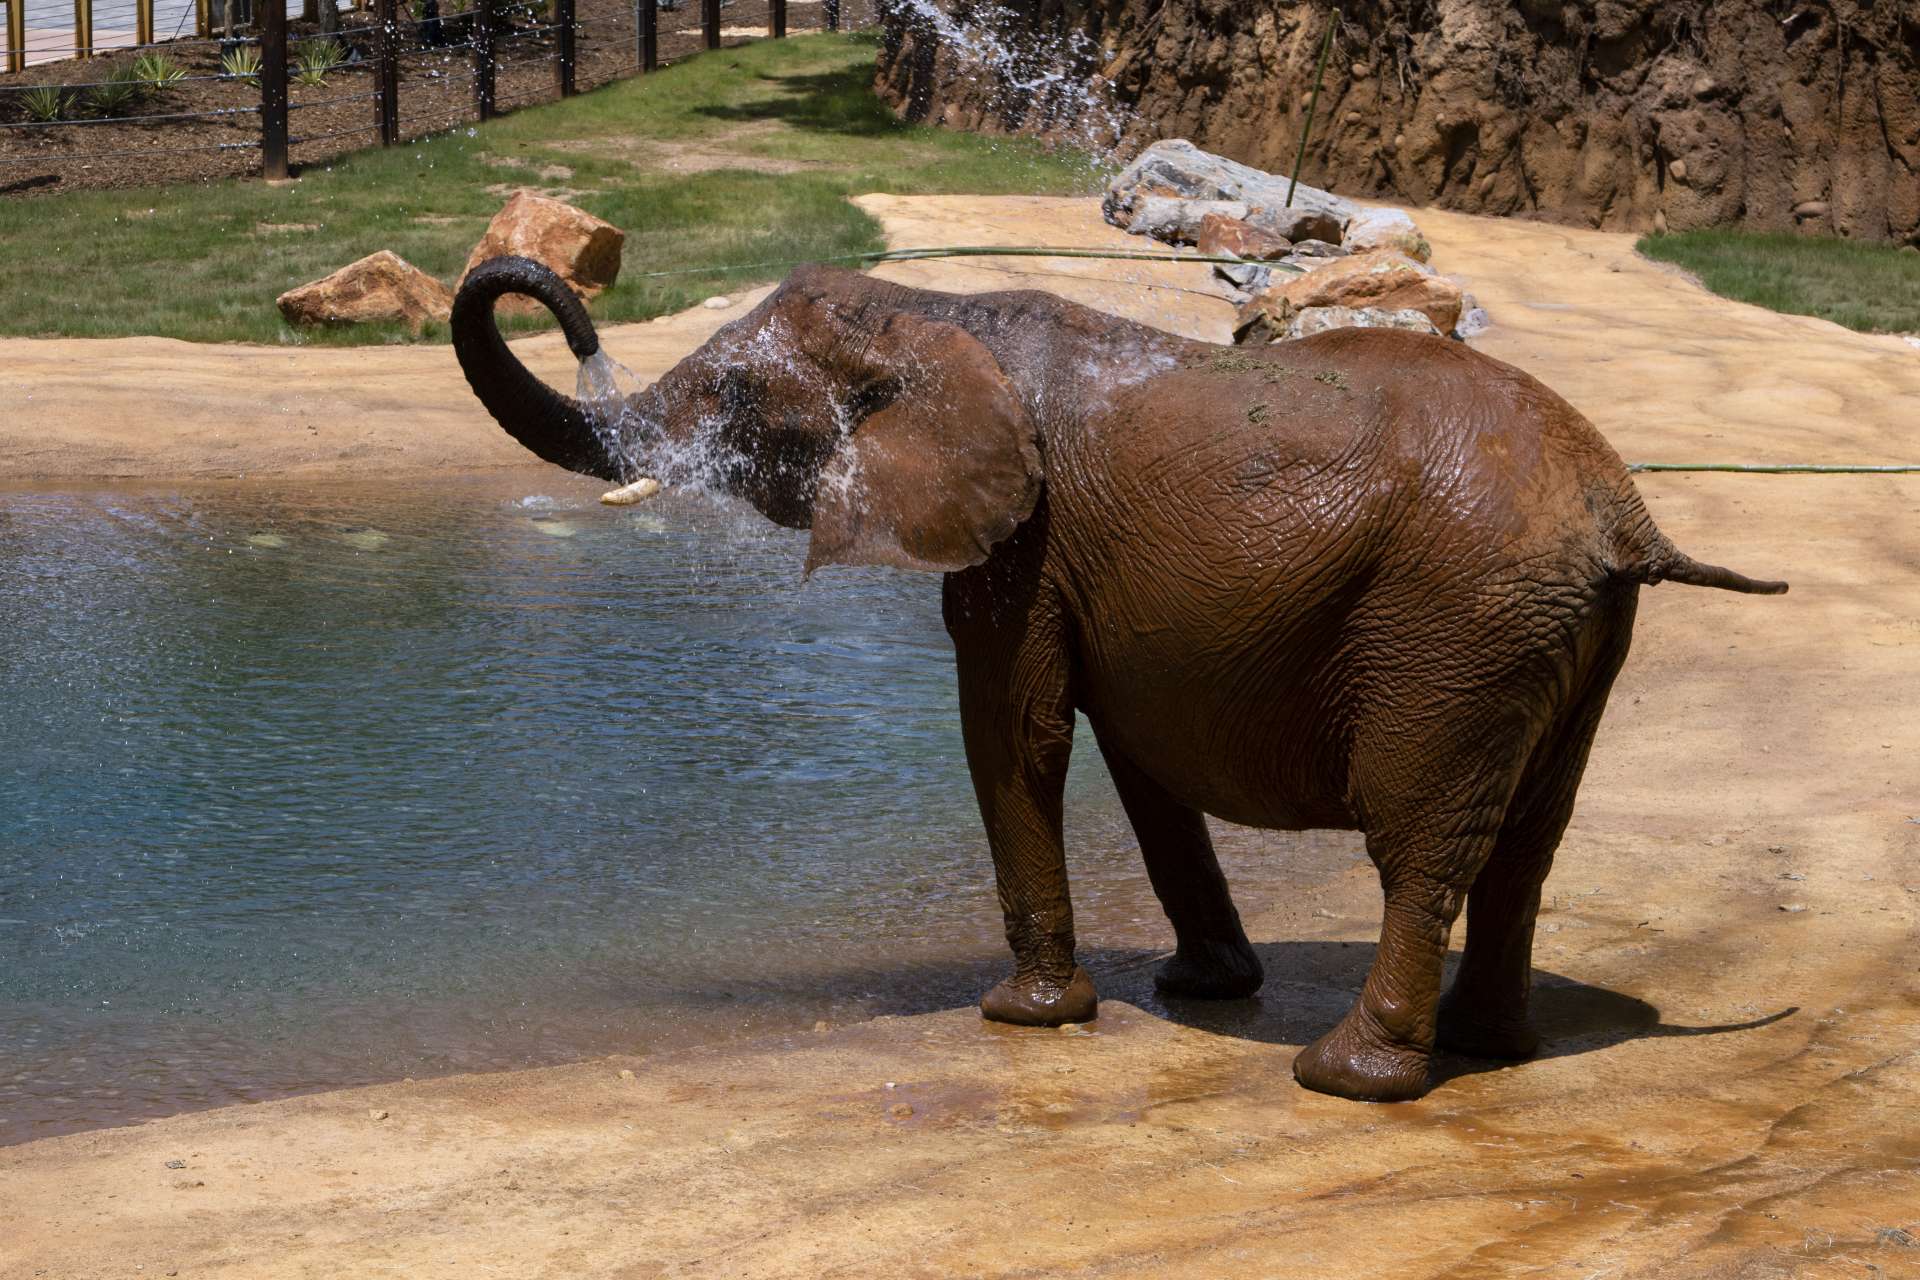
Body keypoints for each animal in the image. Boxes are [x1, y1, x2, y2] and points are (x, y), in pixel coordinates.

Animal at [449, 253, 1781, 1105]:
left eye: (733, 398)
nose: (572, 320)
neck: (935, 313)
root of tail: (1624, 514)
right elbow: (1141, 761)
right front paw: (1202, 987)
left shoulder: (1025, 547)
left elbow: (1013, 732)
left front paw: (1024, 1015)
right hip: (1556, 636)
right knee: (1525, 844)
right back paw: (1490, 1047)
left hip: (1454, 628)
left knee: (1421, 842)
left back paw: (1349, 1078)